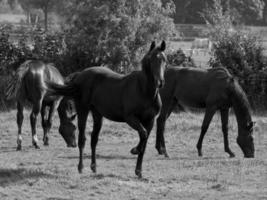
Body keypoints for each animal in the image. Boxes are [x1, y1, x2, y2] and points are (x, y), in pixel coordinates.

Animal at [46, 41, 168, 178]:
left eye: (165, 60)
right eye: (151, 60)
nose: (160, 82)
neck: (144, 91)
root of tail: (80, 75)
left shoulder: (150, 121)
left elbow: (144, 141)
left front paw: (139, 171)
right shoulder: (131, 118)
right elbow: (143, 134)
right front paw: (134, 150)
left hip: (97, 114)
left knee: (94, 139)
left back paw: (94, 167)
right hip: (83, 110)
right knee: (82, 139)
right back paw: (81, 167)